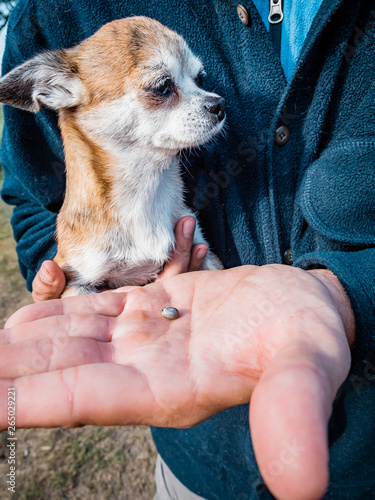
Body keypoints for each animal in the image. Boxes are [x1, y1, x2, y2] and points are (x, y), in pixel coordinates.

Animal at [0, 17, 225, 294]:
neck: (146, 187)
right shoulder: (76, 281)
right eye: (163, 86)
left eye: (199, 79)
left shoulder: (205, 252)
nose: (219, 104)